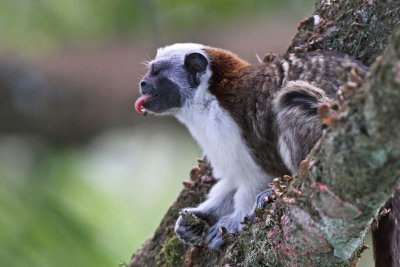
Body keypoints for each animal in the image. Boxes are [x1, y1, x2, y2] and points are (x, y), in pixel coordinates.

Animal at [134, 43, 396, 266]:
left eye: (156, 73)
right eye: (150, 72)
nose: (142, 84)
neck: (207, 99)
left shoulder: (229, 124)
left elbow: (255, 175)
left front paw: (232, 222)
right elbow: (232, 179)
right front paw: (201, 216)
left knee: (293, 100)